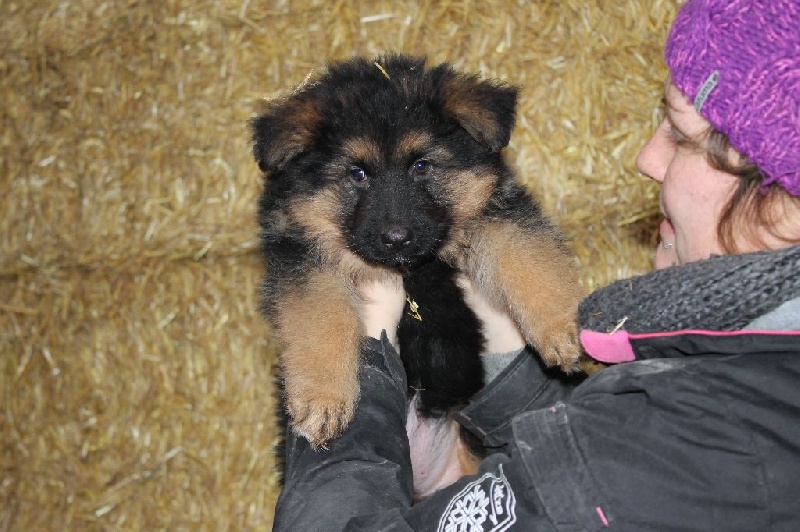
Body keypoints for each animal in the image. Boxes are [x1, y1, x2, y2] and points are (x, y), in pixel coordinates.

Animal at [250, 55, 584, 462]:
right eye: (357, 174)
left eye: (421, 166)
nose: (397, 239)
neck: (414, 273)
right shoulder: (303, 259)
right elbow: (320, 316)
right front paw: (322, 396)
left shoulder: (494, 212)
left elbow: (525, 254)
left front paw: (561, 324)